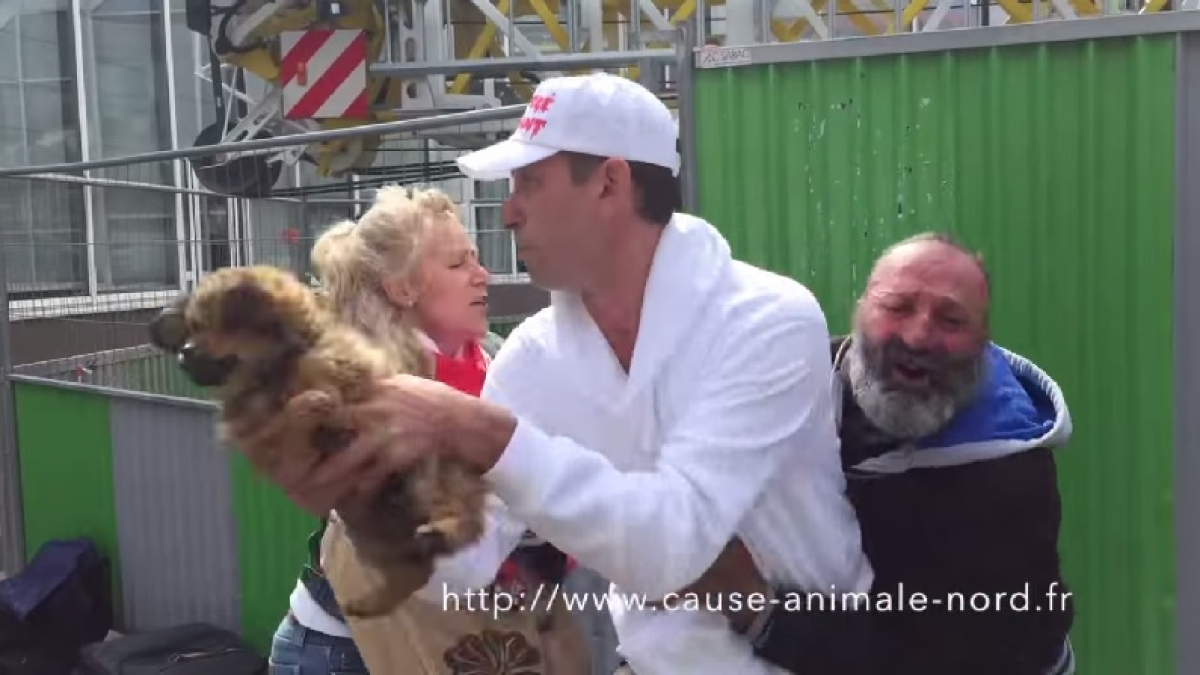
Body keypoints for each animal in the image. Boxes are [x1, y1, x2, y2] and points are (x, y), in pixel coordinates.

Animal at [148, 261, 487, 614]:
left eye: (212, 327)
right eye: (191, 329)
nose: (183, 355)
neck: (268, 375)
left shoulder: (343, 363)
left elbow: (314, 367)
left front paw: (320, 403)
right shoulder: (263, 443)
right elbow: (283, 431)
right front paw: (309, 412)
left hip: (432, 477)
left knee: (463, 518)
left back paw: (444, 527)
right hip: (369, 531)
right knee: (416, 570)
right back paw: (371, 601)